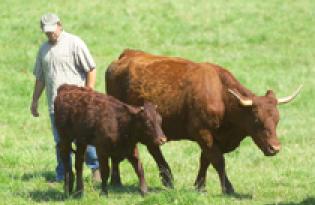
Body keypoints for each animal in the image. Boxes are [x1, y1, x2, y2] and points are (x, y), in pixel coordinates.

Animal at [105, 49, 302, 194]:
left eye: (277, 120)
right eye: (256, 120)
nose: (275, 148)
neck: (221, 95)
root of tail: (126, 54)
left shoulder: (212, 138)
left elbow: (205, 159)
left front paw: (199, 186)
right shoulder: (202, 132)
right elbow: (218, 160)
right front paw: (228, 188)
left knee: (154, 149)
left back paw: (167, 179)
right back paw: (117, 182)